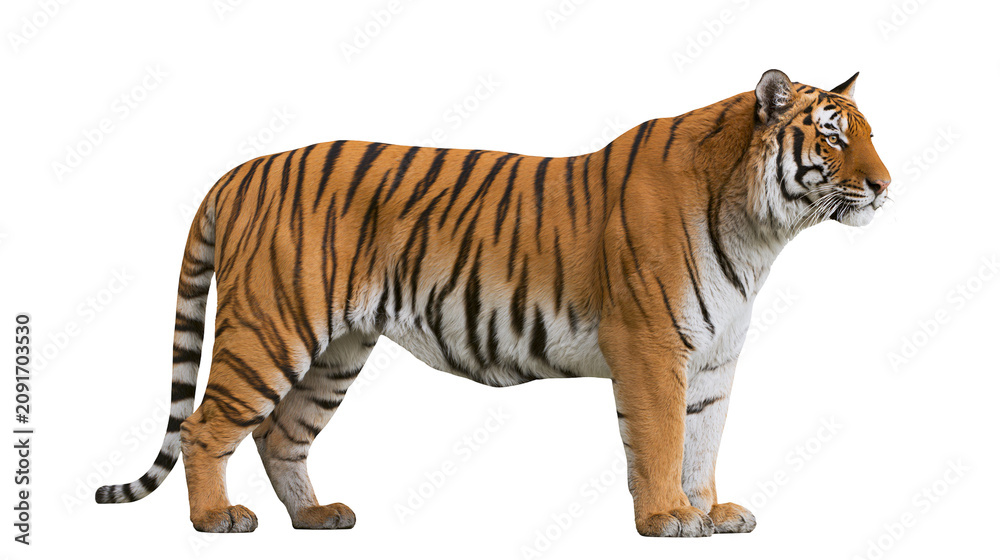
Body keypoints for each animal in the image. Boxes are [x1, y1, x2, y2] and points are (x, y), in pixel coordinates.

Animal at [96, 69, 890, 537]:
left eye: (871, 135)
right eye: (831, 137)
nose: (885, 184)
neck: (759, 231)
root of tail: (241, 169)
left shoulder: (714, 362)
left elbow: (703, 442)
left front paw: (712, 512)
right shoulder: (652, 349)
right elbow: (663, 441)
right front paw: (667, 518)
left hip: (337, 351)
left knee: (280, 433)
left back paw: (317, 516)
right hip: (270, 327)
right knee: (204, 426)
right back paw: (216, 519)